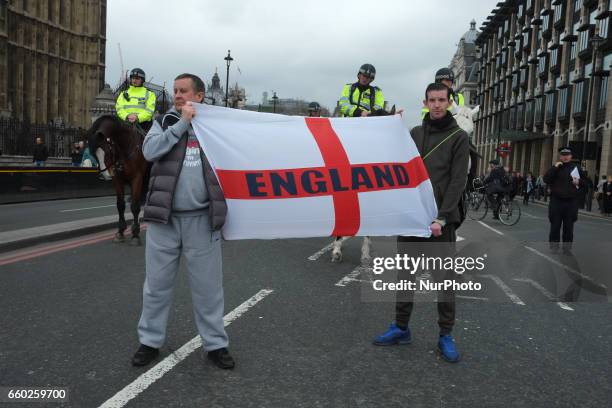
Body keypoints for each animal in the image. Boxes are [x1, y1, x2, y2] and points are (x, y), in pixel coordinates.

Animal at [86, 115, 149, 245]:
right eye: (93, 153)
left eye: (107, 149)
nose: (105, 176)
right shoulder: (117, 179)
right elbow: (120, 205)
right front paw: (120, 232)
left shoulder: (137, 178)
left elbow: (135, 206)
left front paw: (135, 235)